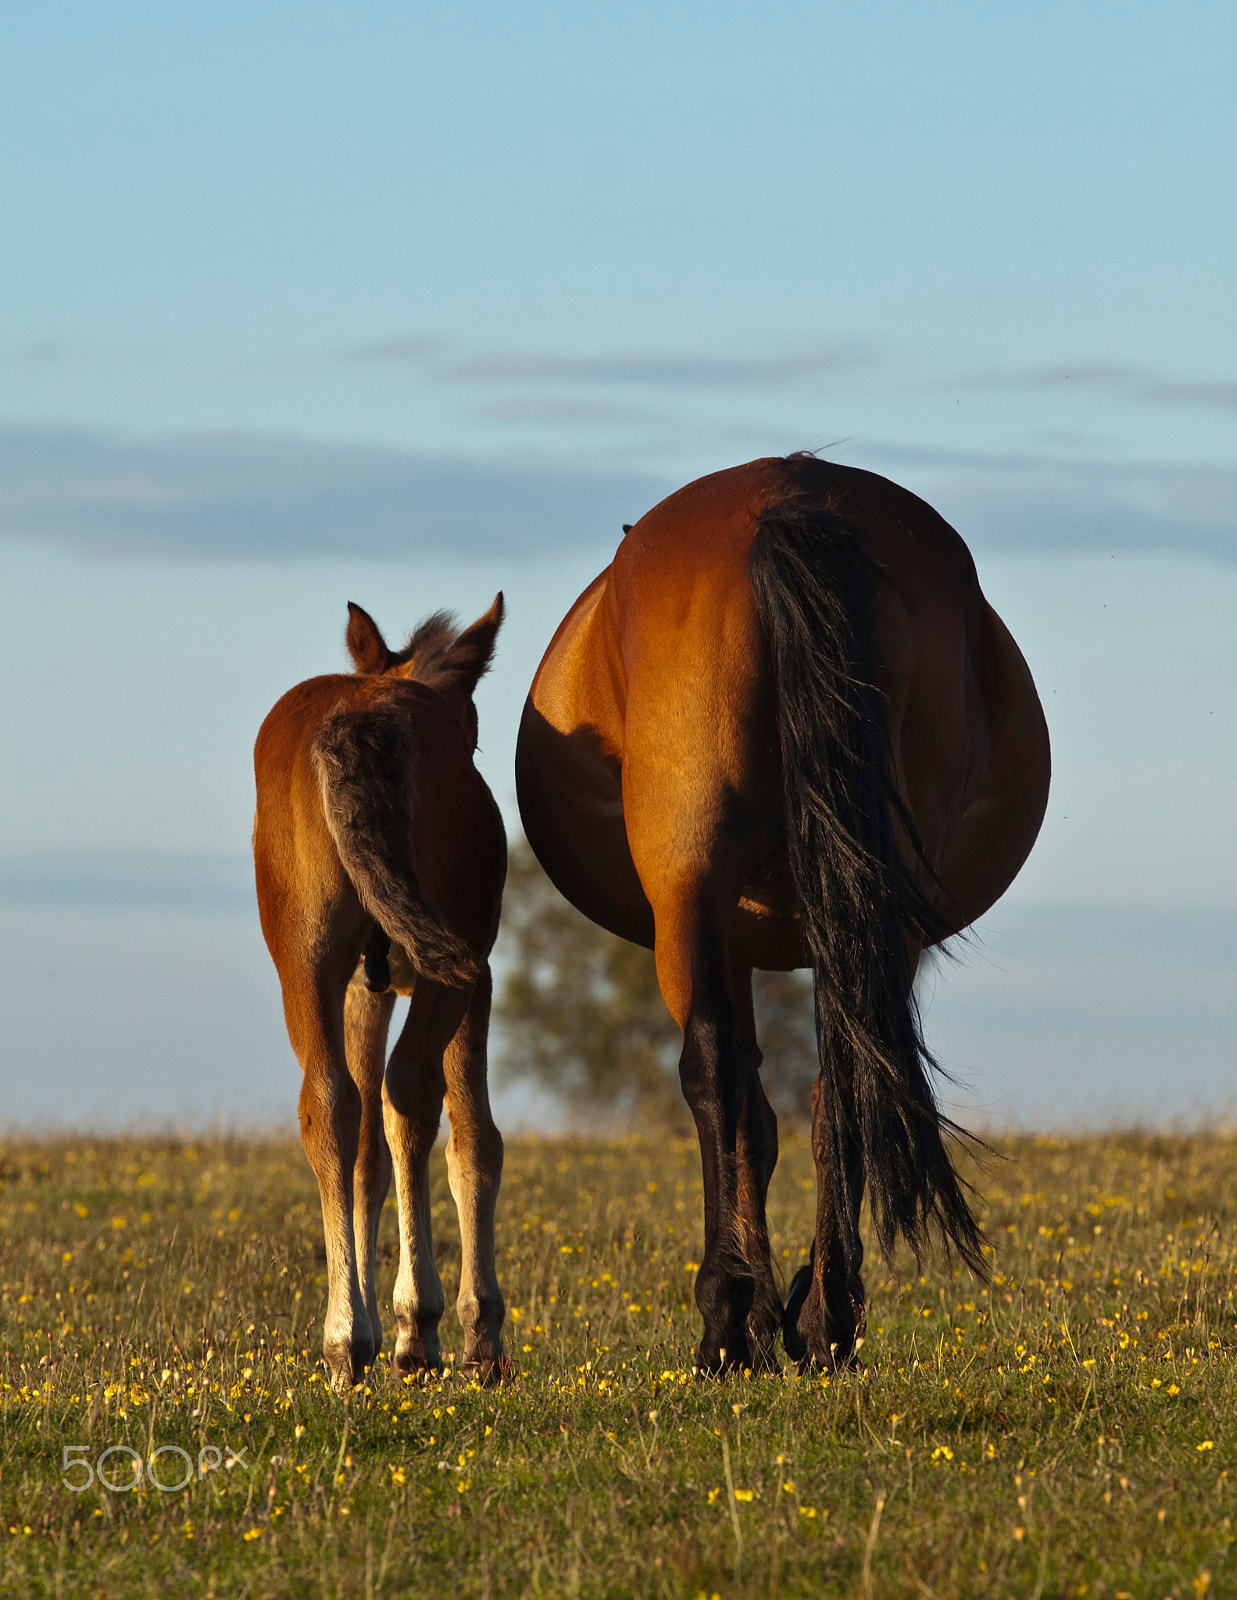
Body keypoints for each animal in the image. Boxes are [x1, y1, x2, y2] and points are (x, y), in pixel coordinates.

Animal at [256, 598, 505, 1388]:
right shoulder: (475, 977)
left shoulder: (366, 988)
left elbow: (365, 1150)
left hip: (306, 959)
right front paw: (476, 1330)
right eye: (472, 711)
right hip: (449, 972)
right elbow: (473, 1142)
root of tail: (360, 721)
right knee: (411, 1094)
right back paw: (416, 1329)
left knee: (331, 1105)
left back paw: (347, 1341)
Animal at [515, 454, 1049, 1376]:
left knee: (716, 1068)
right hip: (880, 912)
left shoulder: (714, 927)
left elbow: (744, 1110)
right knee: (846, 1082)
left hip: (688, 884)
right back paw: (826, 1314)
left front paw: (748, 1311)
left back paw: (730, 1317)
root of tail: (789, 497)